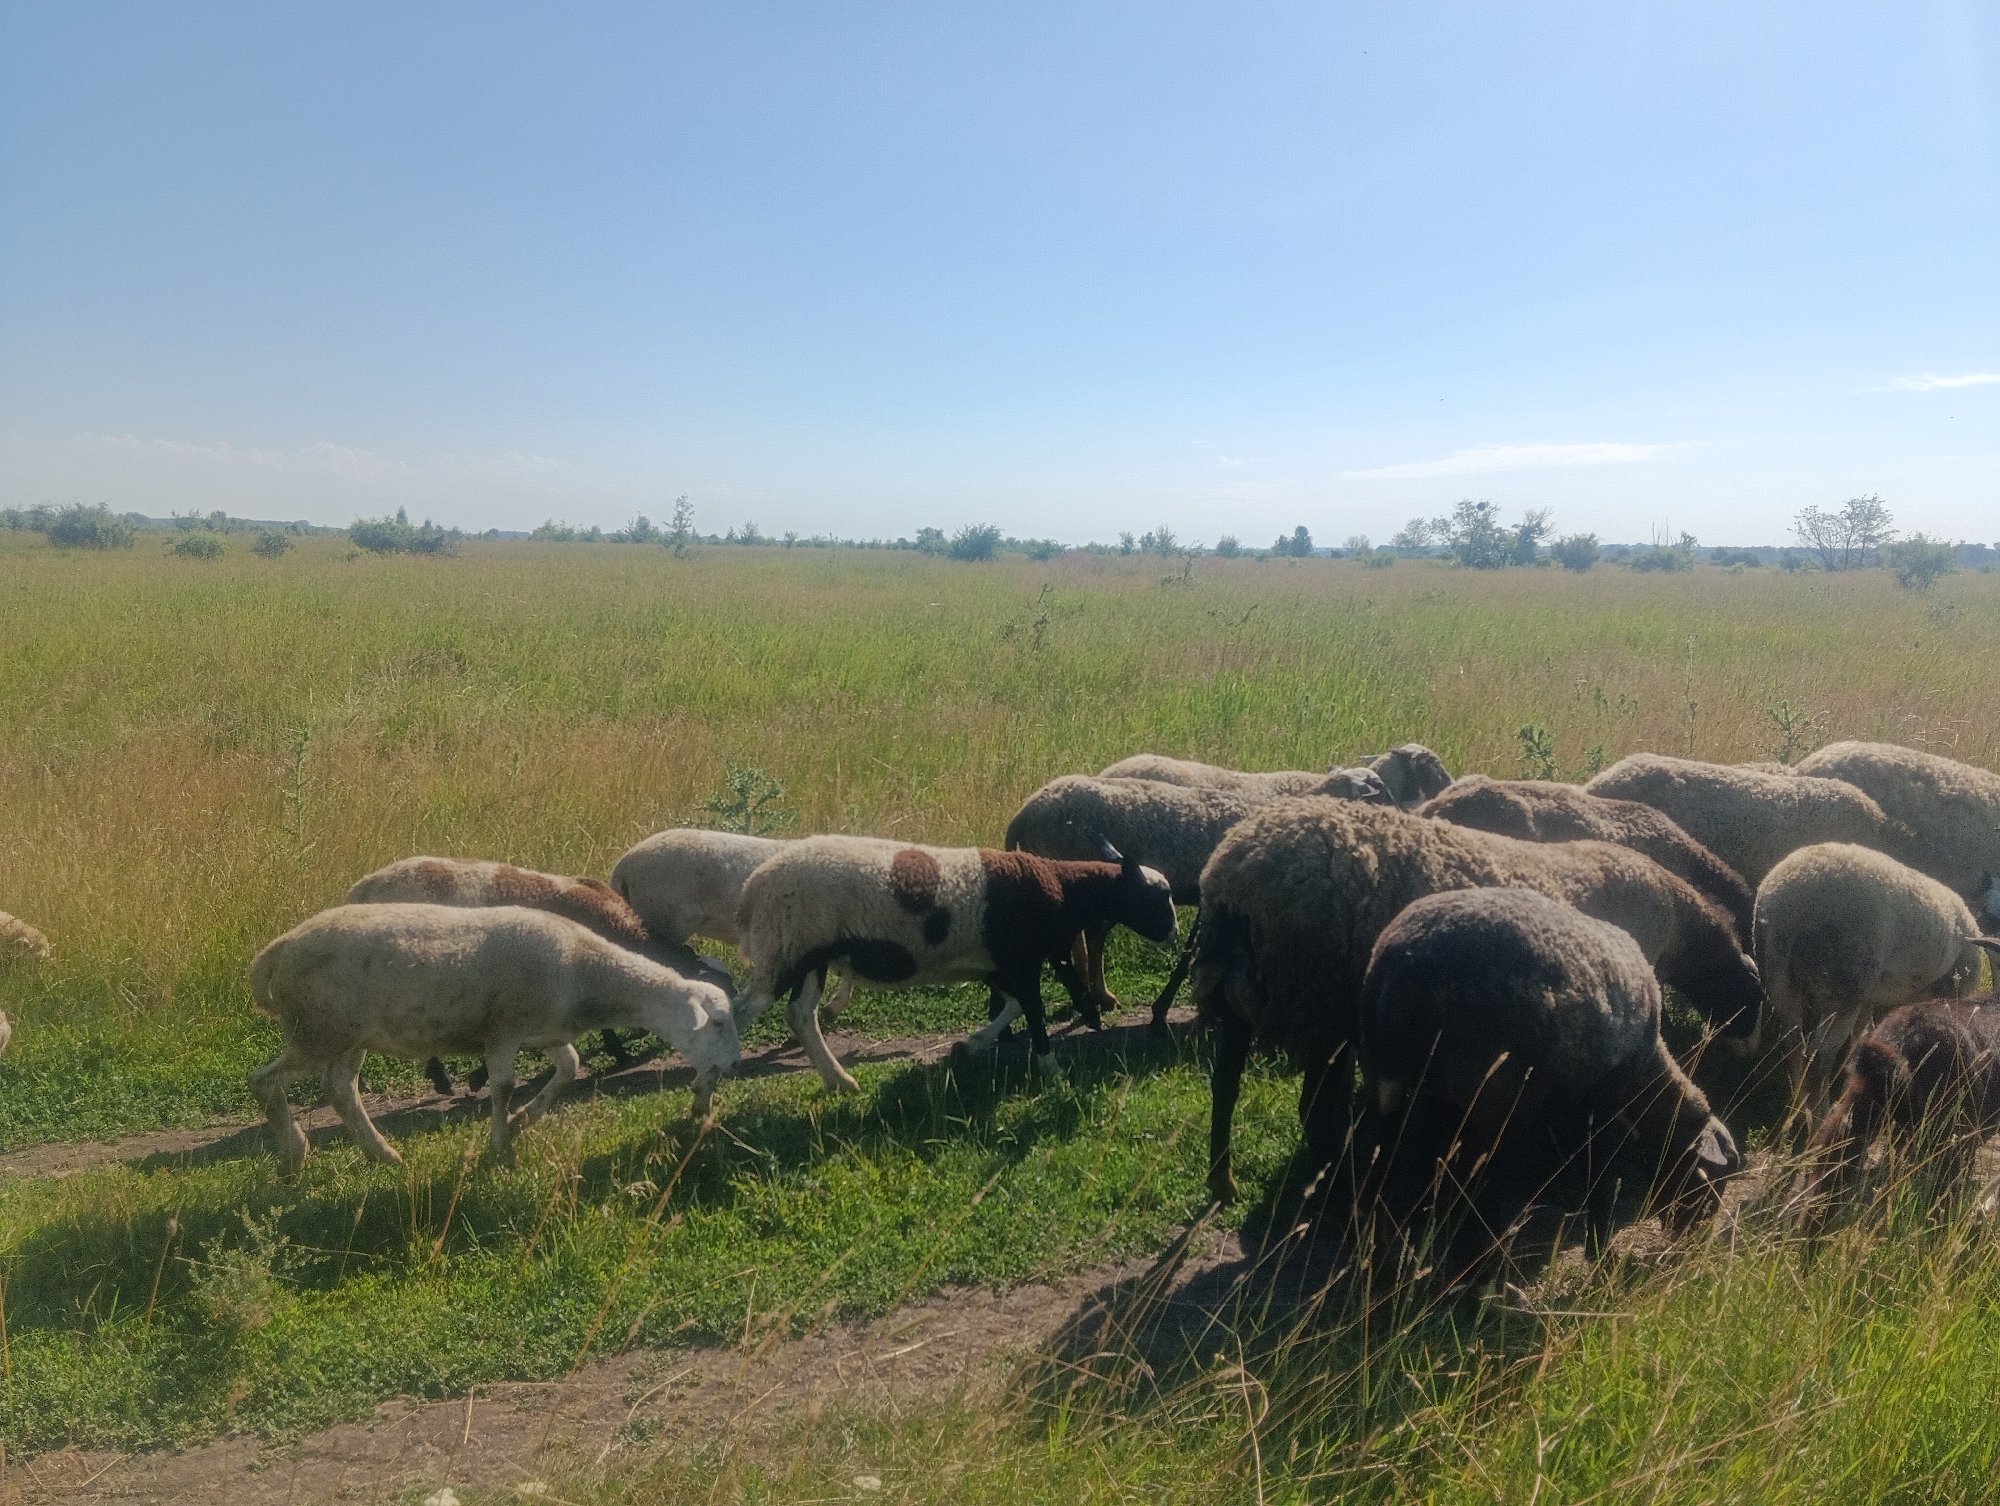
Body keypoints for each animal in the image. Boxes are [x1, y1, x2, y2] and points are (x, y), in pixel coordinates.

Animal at [248, 904, 739, 1175]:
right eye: (718, 1022)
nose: (731, 1065)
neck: (588, 973)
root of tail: (278, 949)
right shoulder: (503, 1031)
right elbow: (503, 1087)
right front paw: (501, 1149)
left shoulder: (544, 1029)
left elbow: (570, 1067)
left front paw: (523, 1121)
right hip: (318, 1030)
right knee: (264, 1081)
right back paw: (294, 1157)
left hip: (349, 1036)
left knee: (340, 1089)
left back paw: (383, 1155)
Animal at [732, 837, 1177, 1088]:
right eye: (1159, 896)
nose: (1174, 935)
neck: (1064, 890)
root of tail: (756, 885)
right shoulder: (1021, 960)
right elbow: (1033, 1010)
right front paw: (1050, 1067)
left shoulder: (1000, 964)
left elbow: (1014, 1006)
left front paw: (970, 1047)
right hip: (786, 947)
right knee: (744, 1009)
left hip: (807, 952)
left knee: (799, 1015)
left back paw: (841, 1082)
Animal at [1189, 798, 1763, 1203]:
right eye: (1754, 998)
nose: (1746, 1056)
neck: (1675, 924)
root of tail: (1236, 876)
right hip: (1315, 994)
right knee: (1307, 1100)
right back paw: (1328, 1172)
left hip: (1248, 993)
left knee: (1227, 1082)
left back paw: (1224, 1181)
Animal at [1360, 889, 1740, 1271]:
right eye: (1708, 1182)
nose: (1691, 1240)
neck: (1647, 1073)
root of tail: (1402, 961)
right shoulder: (1601, 1098)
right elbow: (1597, 1174)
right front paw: (1601, 1253)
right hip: (1489, 1090)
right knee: (1472, 1178)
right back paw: (1477, 1268)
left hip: (1390, 1083)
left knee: (1383, 1164)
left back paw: (1384, 1260)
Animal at [1752, 843, 1989, 1122]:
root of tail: (1787, 907)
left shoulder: (1871, 997)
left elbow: (1863, 1037)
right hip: (1844, 983)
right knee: (1818, 1056)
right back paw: (1820, 1117)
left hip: (1780, 979)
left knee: (1793, 1045)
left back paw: (1799, 1110)